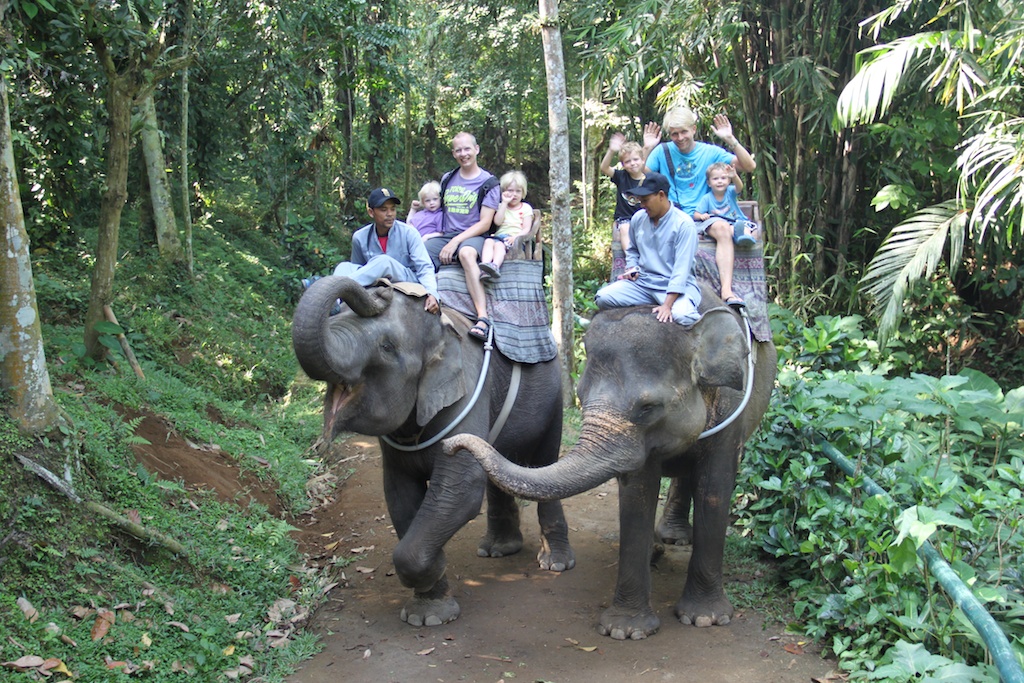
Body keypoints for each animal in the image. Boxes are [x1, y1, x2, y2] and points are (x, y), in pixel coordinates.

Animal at [292, 274, 573, 626]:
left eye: (387, 347)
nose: (382, 285)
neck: (440, 332)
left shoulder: (466, 394)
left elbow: (459, 490)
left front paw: (432, 596)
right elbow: (399, 494)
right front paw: (427, 610)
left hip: (554, 396)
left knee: (545, 460)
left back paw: (555, 563)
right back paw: (497, 549)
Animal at [444, 286, 770, 643]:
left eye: (648, 407)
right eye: (581, 396)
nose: (449, 445)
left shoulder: (731, 409)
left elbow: (715, 486)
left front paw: (705, 619)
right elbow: (639, 492)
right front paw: (625, 631)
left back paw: (674, 542)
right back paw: (662, 546)